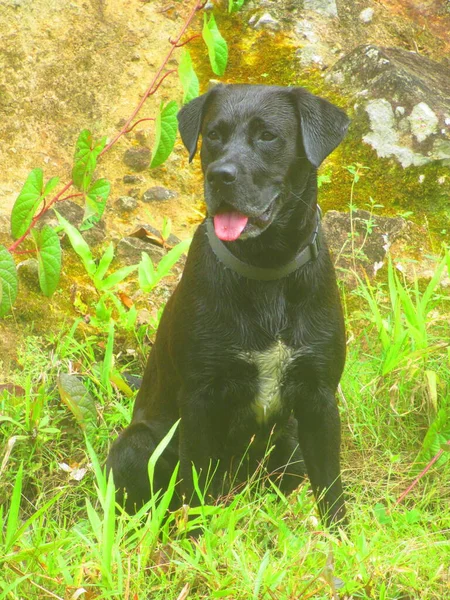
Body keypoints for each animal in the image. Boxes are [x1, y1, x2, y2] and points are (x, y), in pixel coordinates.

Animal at [107, 83, 350, 524]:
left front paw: (338, 537)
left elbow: (330, 489)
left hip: (290, 444)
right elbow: (197, 487)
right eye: (214, 135)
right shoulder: (201, 399)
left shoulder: (319, 397)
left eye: (268, 136)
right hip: (140, 443)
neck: (266, 270)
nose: (219, 176)